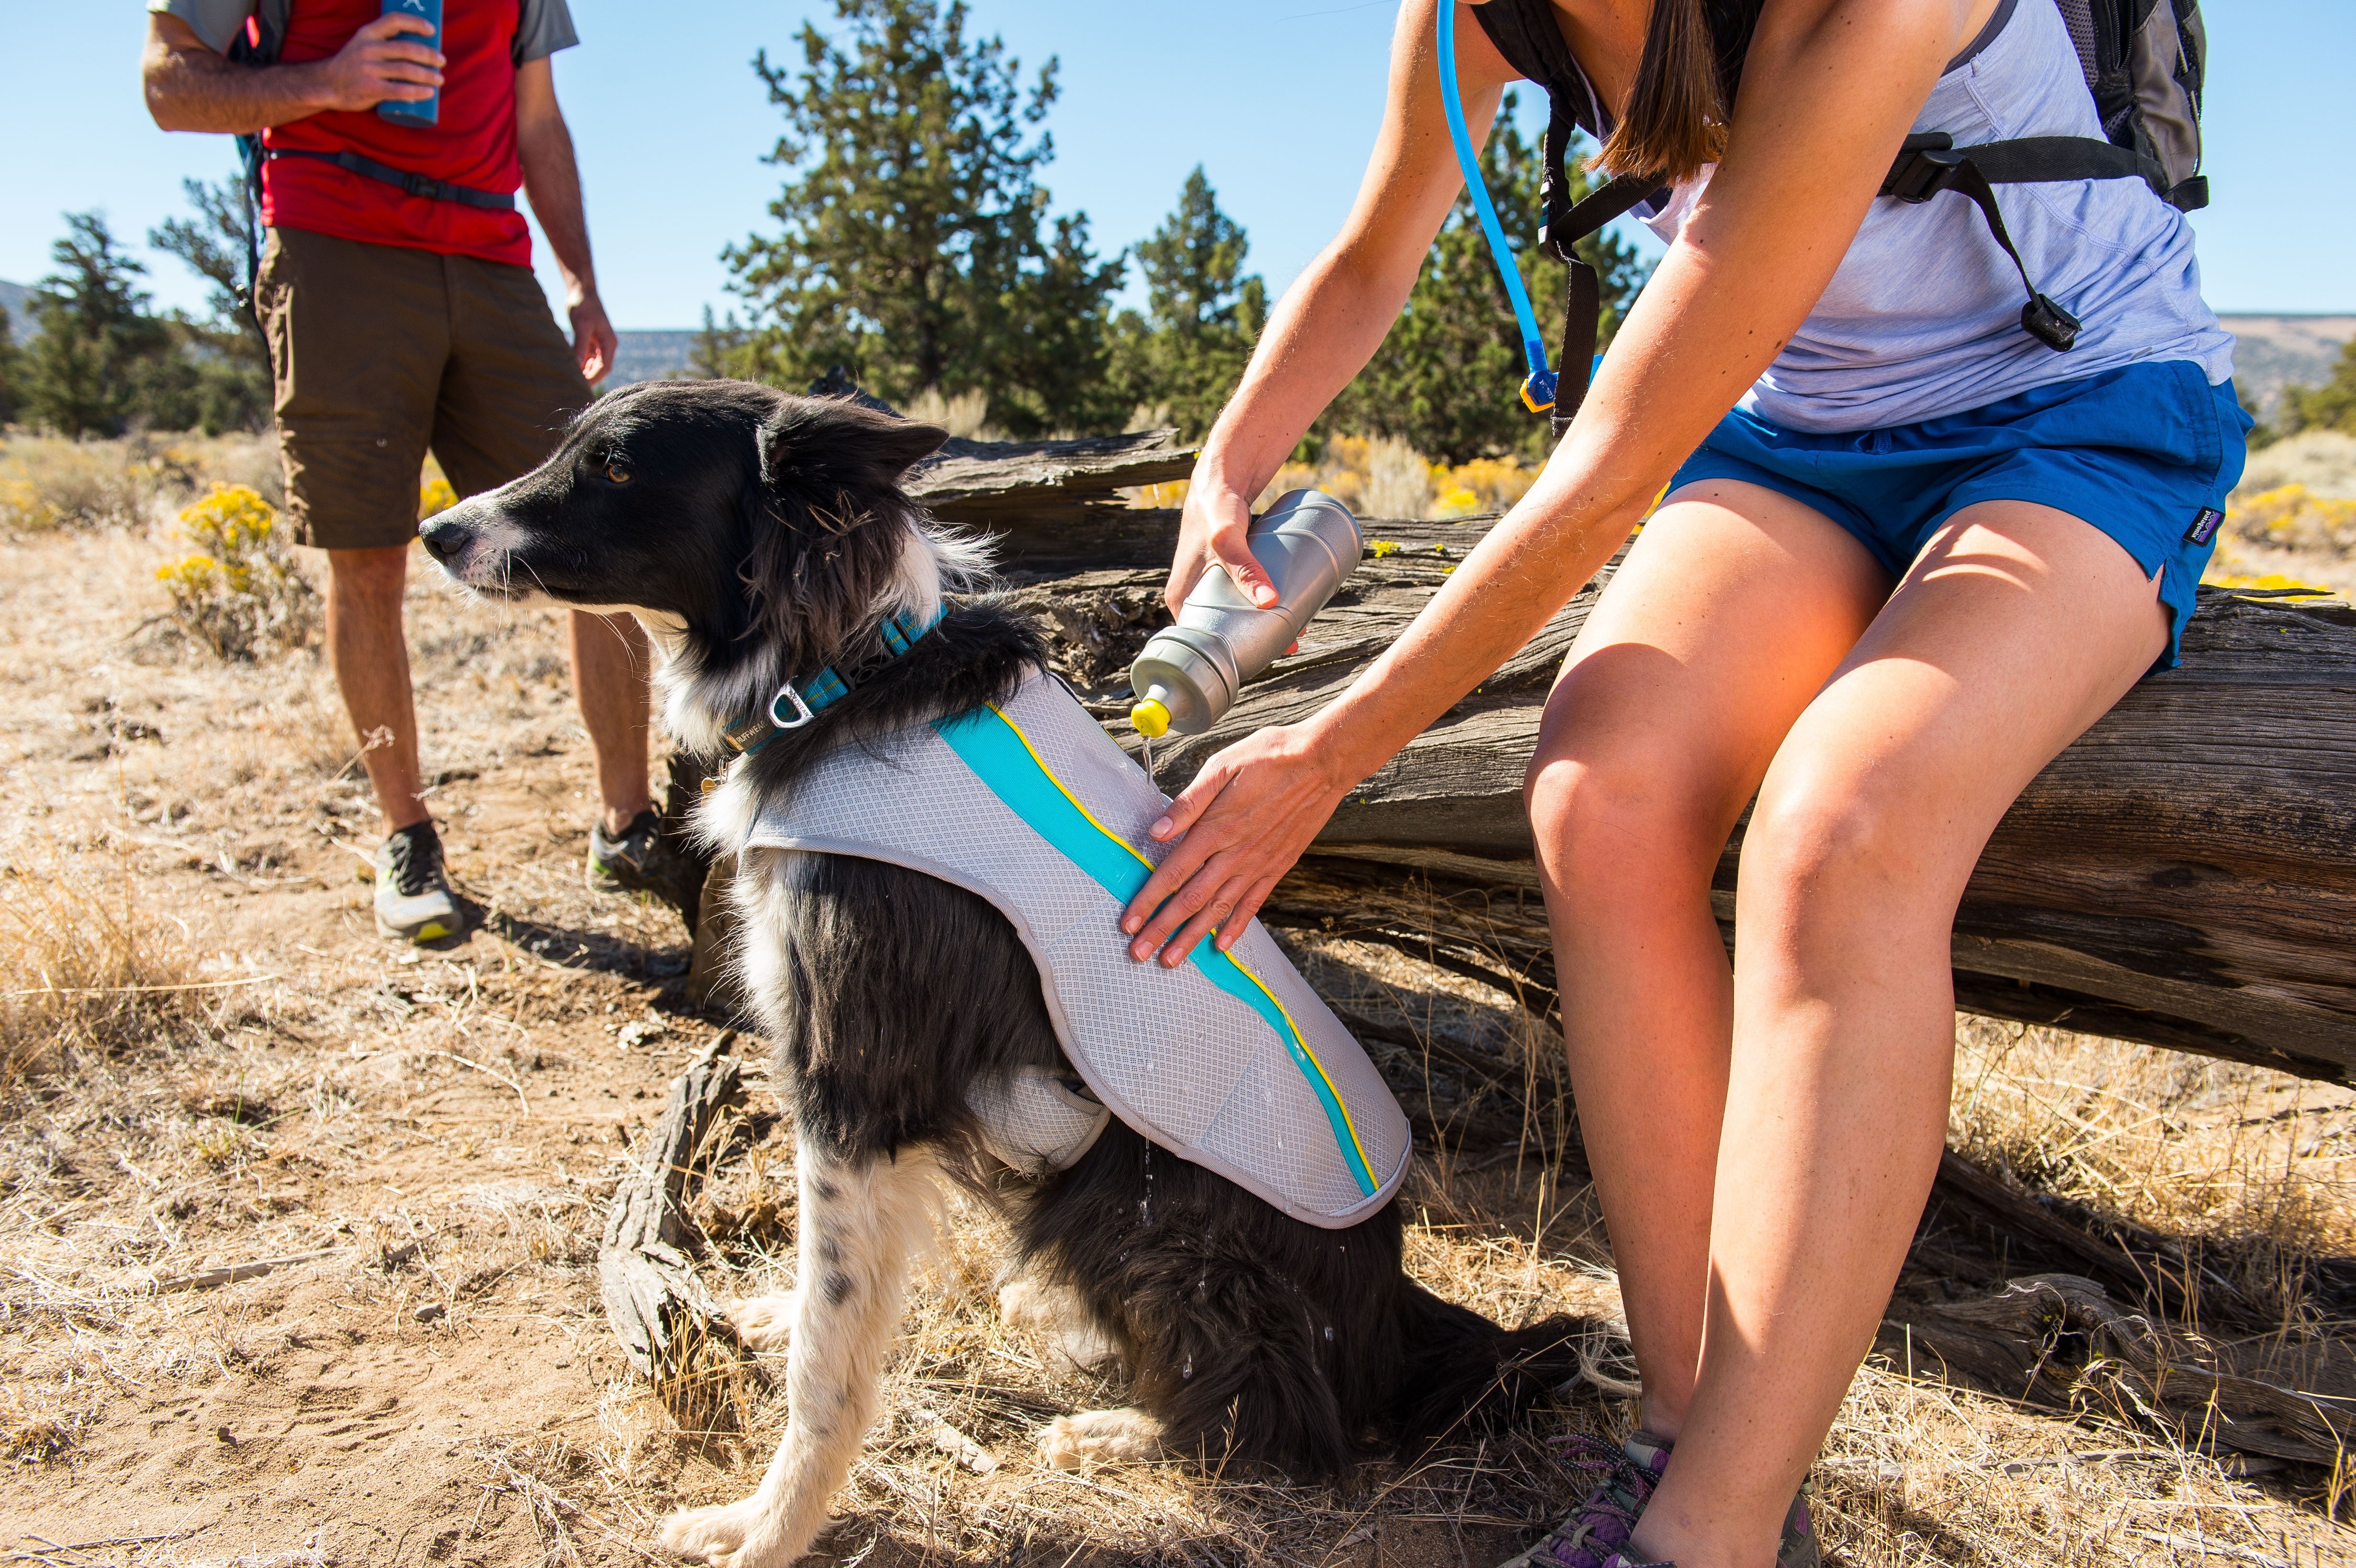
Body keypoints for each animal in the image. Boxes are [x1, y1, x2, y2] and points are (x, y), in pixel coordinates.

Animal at [424, 381, 1602, 1563]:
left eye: (618, 469)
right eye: (573, 444)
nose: (438, 531)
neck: (843, 671)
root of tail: (1391, 1312)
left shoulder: (854, 1081)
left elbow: (828, 1354)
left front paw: (766, 1524)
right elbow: (834, 1284)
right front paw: (776, 1318)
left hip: (1146, 1219)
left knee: (1288, 1418)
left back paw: (1124, 1424)